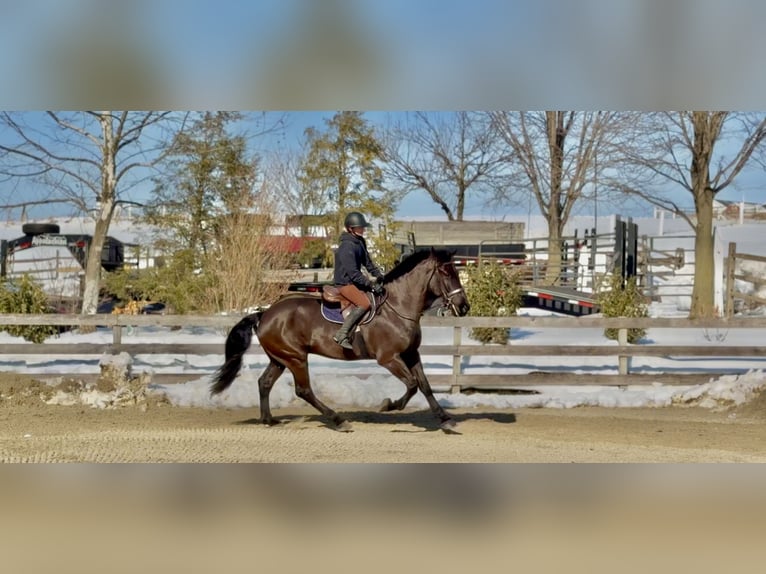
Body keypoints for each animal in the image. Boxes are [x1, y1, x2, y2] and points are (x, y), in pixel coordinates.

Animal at [210, 248, 471, 432]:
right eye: (446, 273)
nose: (464, 307)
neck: (398, 306)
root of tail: (265, 313)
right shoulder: (389, 358)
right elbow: (412, 384)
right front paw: (389, 405)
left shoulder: (410, 353)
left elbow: (424, 385)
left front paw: (445, 419)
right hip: (296, 358)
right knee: (304, 390)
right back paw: (338, 420)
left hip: (280, 358)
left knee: (265, 383)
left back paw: (268, 420)